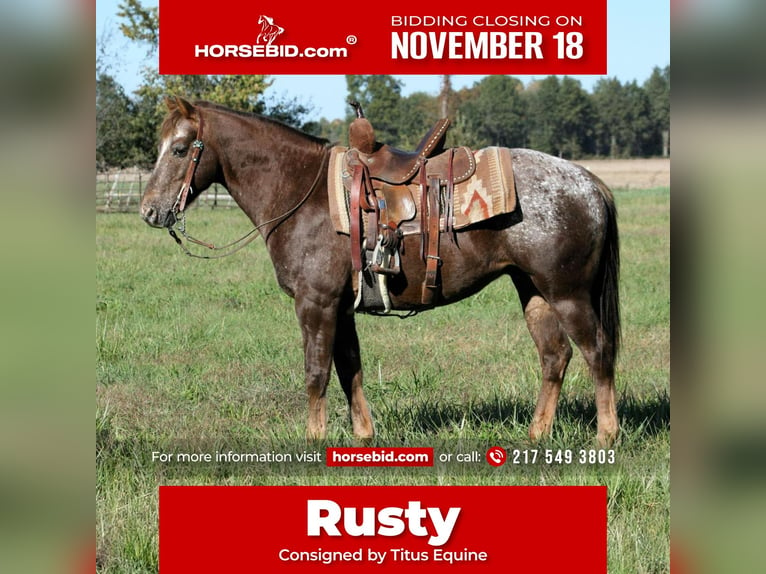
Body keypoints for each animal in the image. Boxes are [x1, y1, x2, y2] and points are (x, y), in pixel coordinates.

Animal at [141, 97, 624, 448]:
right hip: (534, 291)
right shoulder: (341, 307)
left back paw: (606, 435)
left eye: (180, 150)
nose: (150, 211)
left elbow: (316, 372)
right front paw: (363, 435)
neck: (302, 192)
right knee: (554, 356)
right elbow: (348, 367)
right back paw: (537, 433)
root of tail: (587, 182)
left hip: (568, 293)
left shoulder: (315, 304)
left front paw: (313, 440)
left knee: (597, 353)